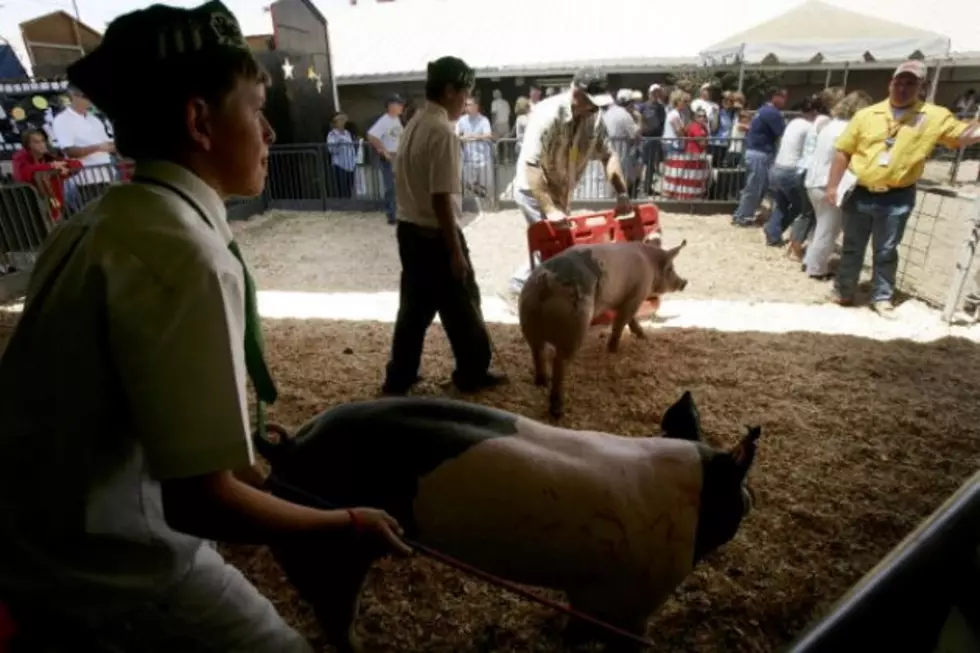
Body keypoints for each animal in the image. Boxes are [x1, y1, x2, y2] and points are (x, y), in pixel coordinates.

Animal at [256, 390, 760, 648]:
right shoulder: (626, 604)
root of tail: (285, 449)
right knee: (335, 613)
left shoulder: (588, 596)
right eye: (740, 497)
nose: (751, 497)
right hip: (319, 547)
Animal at [516, 239, 684, 418]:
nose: (684, 282)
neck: (650, 265)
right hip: (574, 328)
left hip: (527, 320)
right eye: (670, 268)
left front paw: (643, 336)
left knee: (537, 352)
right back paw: (558, 410)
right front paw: (614, 349)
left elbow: (629, 319)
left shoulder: (622, 301)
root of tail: (547, 280)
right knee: (559, 363)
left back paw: (541, 382)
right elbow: (620, 323)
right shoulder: (635, 296)